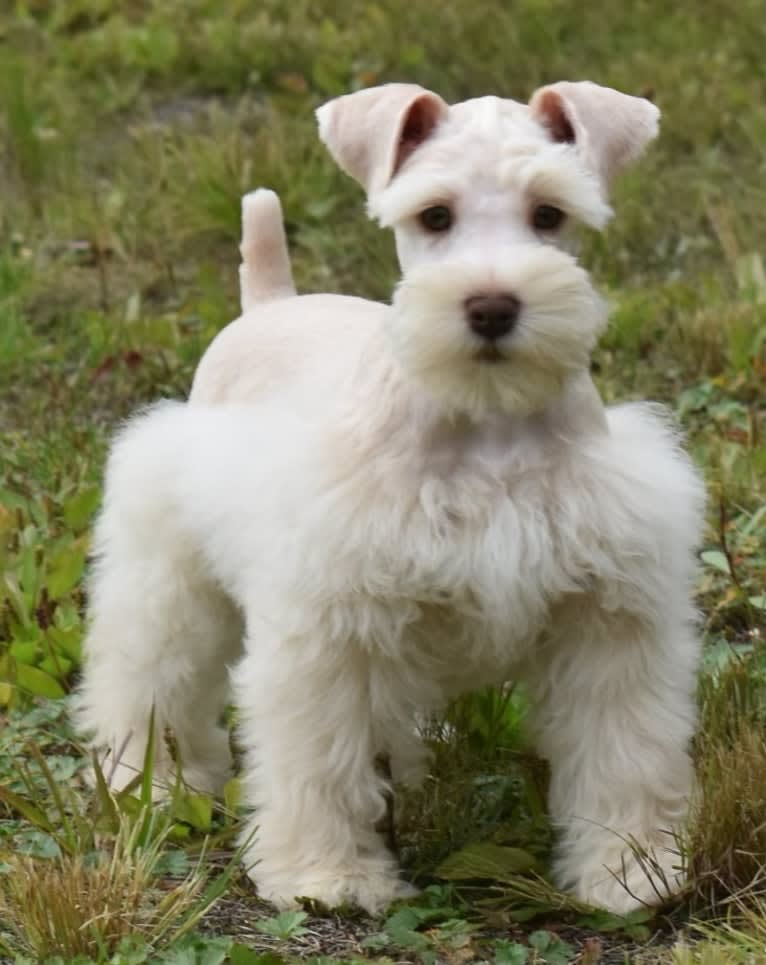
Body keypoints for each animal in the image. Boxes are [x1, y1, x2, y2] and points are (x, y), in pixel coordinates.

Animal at [76, 81, 708, 912]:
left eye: (549, 213)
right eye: (434, 215)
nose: (493, 307)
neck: (484, 421)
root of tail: (268, 302)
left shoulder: (609, 614)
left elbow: (623, 748)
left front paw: (631, 867)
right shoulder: (327, 623)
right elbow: (319, 759)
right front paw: (326, 874)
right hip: (168, 571)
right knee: (148, 678)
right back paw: (149, 781)